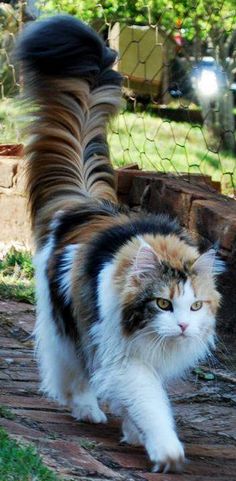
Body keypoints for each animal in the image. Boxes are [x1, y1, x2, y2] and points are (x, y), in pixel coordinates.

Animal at [15, 15, 224, 472]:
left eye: (195, 307)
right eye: (162, 303)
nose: (183, 327)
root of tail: (88, 205)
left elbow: (139, 404)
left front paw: (133, 431)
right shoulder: (124, 356)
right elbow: (150, 403)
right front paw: (165, 450)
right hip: (69, 321)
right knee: (71, 370)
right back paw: (86, 408)